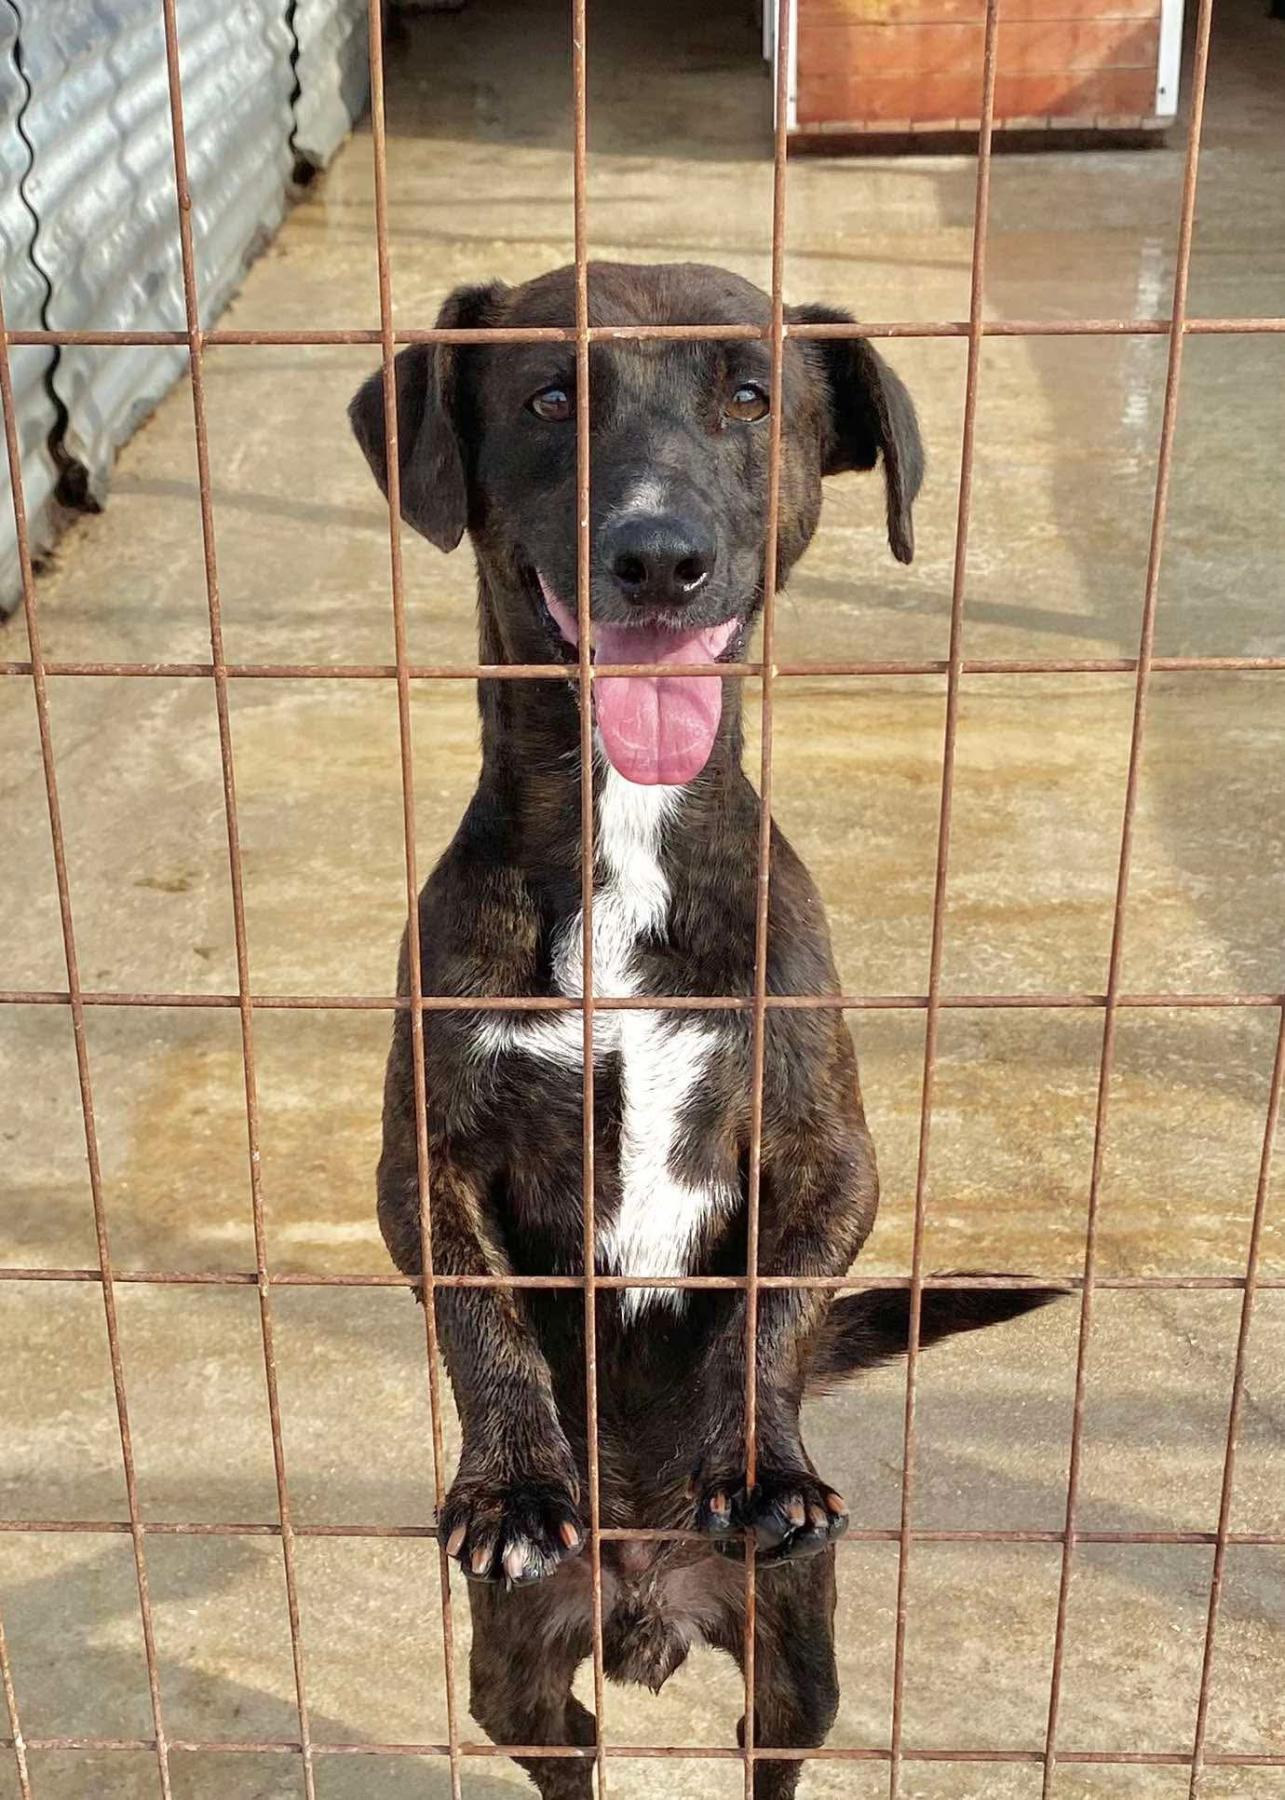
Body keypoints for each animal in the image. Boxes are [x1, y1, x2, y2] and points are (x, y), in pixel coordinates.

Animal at [349, 261, 1058, 1797]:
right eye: (549, 394)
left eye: (746, 395)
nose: (657, 557)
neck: (628, 844)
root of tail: (647, 1597)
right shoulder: (423, 1164)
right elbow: (482, 1317)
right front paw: (515, 1484)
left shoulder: (823, 1151)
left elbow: (769, 1308)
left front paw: (763, 1464)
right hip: (515, 1674)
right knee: (567, 1748)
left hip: (799, 1662)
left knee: (768, 1750)